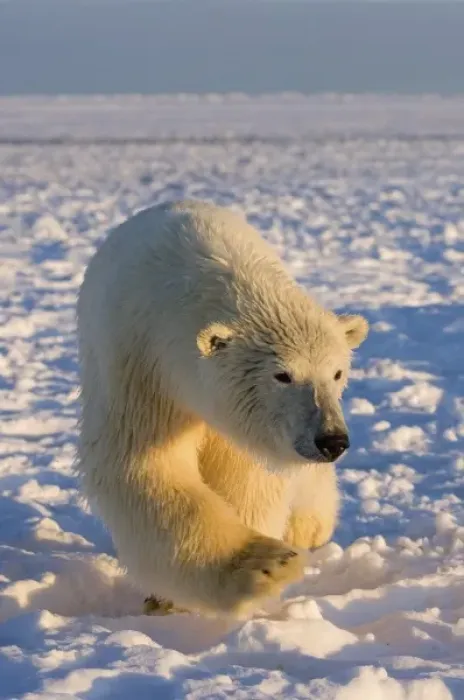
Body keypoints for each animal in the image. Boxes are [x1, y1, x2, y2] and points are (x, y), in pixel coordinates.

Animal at [76, 200, 368, 617]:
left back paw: (310, 527)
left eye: (337, 372)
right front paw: (265, 565)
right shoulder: (139, 364)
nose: (331, 441)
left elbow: (247, 478)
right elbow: (142, 465)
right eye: (283, 375)